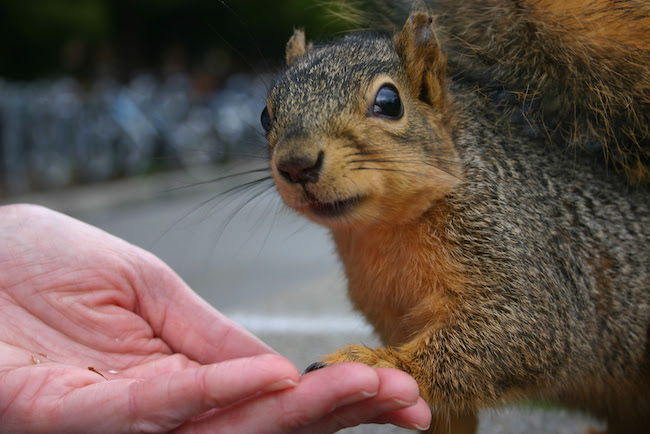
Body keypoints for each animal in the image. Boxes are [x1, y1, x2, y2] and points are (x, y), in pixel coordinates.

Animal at [258, 1, 648, 432]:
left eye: (389, 103)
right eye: (264, 116)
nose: (296, 164)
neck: (387, 229)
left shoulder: (522, 256)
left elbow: (525, 330)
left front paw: (381, 362)